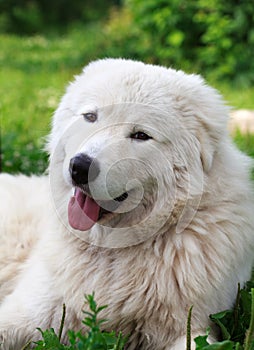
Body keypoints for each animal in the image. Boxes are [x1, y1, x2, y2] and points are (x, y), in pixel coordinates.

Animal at [0, 58, 254, 348]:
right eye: (91, 117)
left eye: (140, 135)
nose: (80, 167)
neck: (114, 249)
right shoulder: (28, 312)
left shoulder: (191, 327)